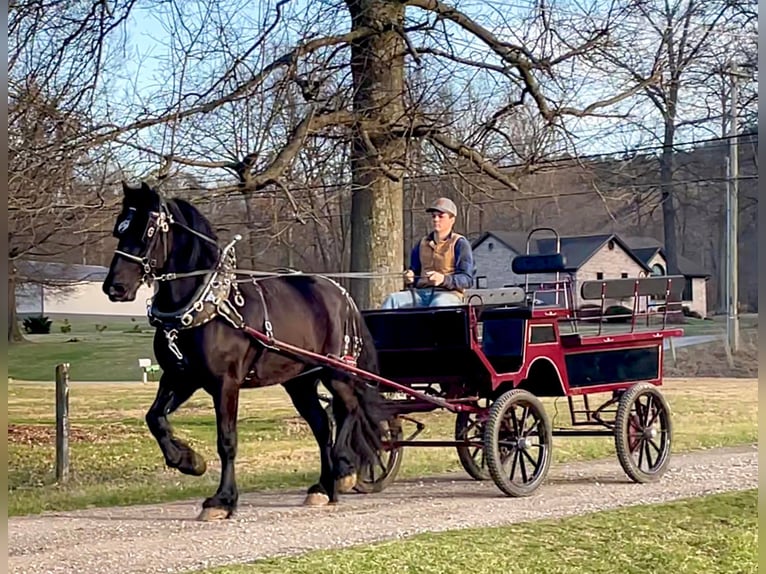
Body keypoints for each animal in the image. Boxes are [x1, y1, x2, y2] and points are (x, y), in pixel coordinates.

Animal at [102, 182, 388, 524]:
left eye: (146, 230)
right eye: (119, 228)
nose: (114, 287)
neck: (205, 307)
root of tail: (340, 292)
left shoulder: (225, 383)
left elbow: (227, 440)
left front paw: (223, 500)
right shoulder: (180, 378)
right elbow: (154, 417)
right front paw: (189, 461)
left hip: (336, 371)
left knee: (350, 408)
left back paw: (343, 469)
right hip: (299, 381)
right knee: (322, 425)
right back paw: (324, 488)